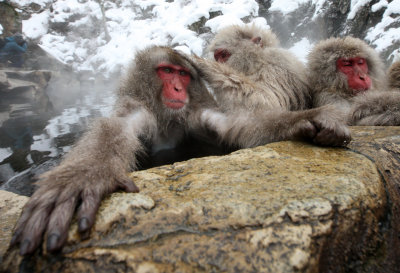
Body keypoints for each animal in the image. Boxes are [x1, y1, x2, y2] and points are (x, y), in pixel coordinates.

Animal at [187, 23, 350, 147]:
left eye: (224, 55)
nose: (219, 62)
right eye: (218, 56)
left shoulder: (276, 65)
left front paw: (203, 65)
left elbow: (266, 102)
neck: (256, 61)